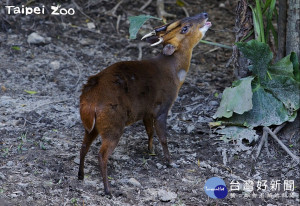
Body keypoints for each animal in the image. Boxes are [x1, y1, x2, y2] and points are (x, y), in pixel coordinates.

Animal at [78, 12, 212, 196]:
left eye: (183, 20)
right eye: (185, 28)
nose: (204, 14)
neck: (174, 71)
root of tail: (89, 100)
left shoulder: (147, 111)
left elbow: (150, 131)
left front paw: (151, 150)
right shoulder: (162, 107)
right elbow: (163, 136)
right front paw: (170, 161)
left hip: (92, 127)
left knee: (83, 146)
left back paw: (81, 176)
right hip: (113, 124)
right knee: (101, 154)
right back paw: (108, 189)